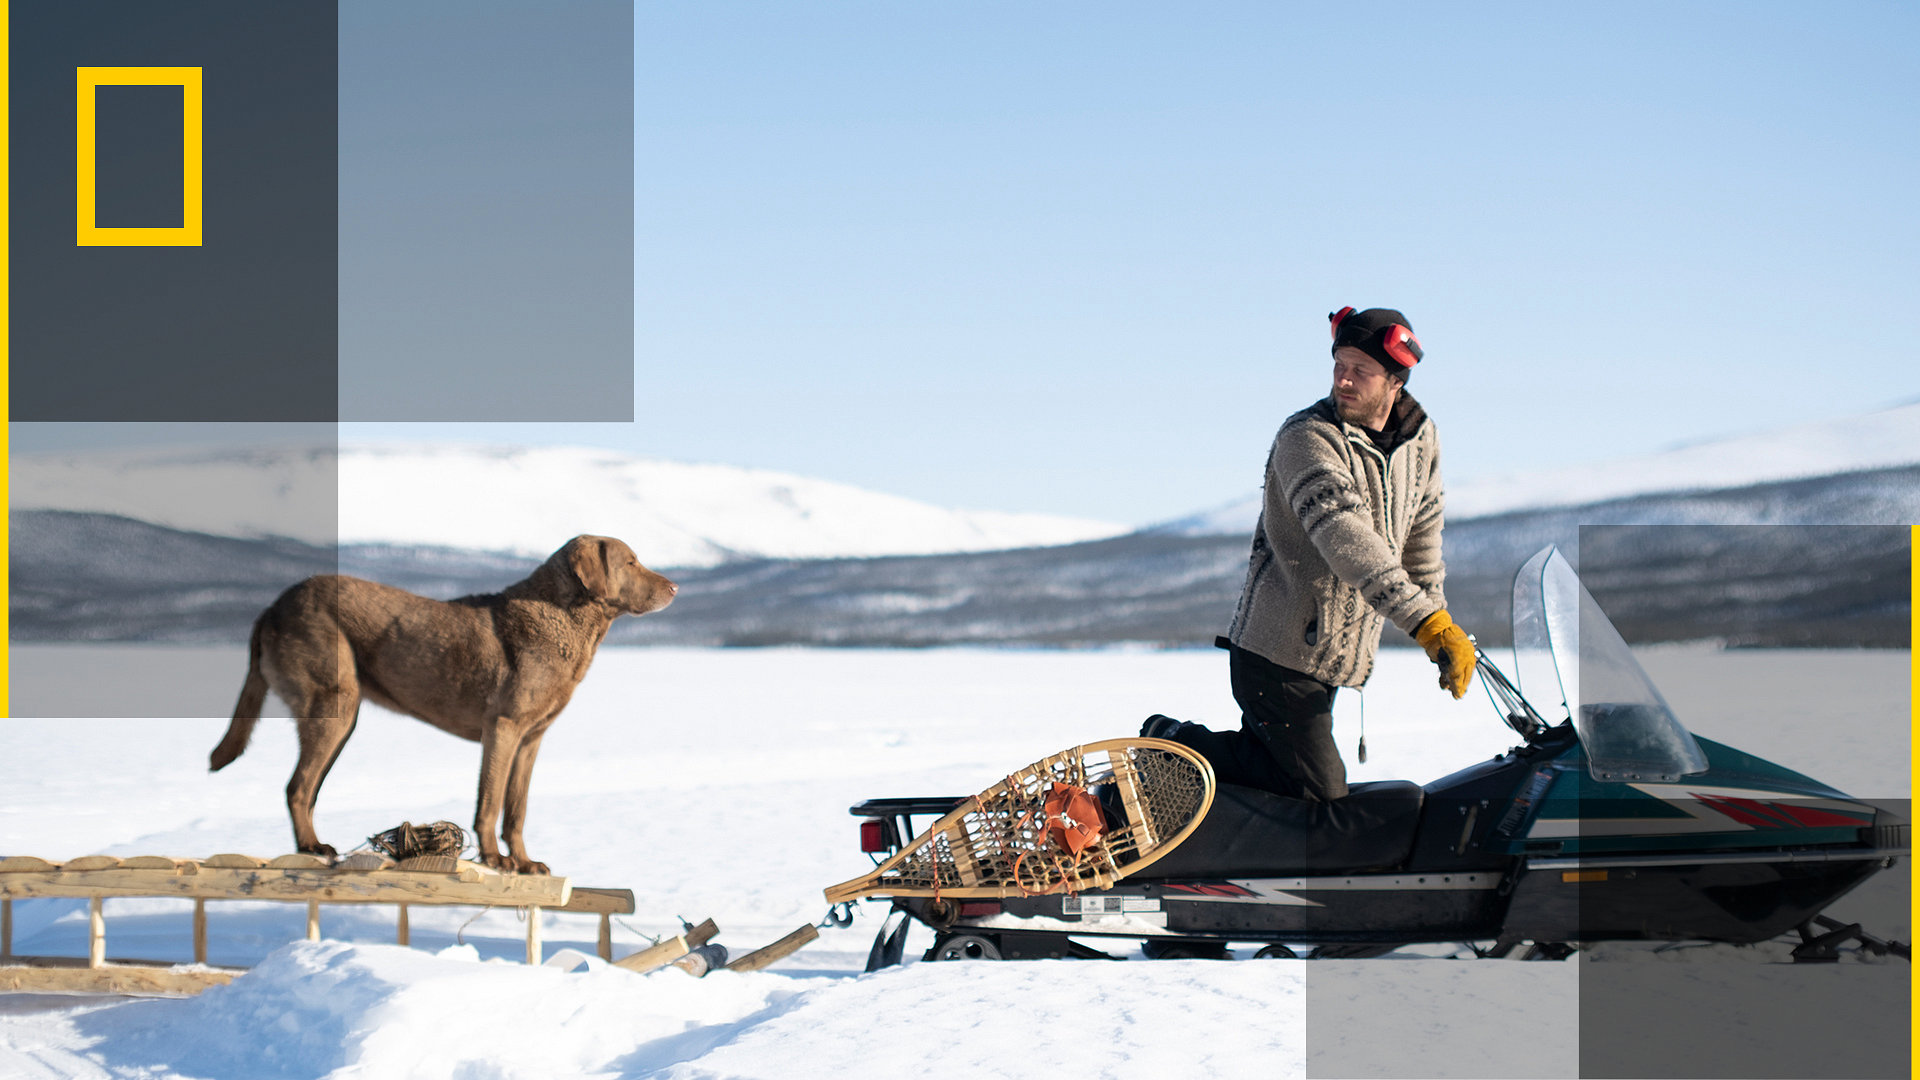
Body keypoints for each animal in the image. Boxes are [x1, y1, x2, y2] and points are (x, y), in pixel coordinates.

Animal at [208, 534, 675, 868]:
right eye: (630, 562)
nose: (674, 587)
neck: (565, 620)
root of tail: (271, 607)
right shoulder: (502, 728)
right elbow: (490, 802)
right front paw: (496, 860)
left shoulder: (531, 739)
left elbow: (517, 809)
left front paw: (525, 863)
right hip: (333, 704)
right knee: (298, 787)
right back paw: (313, 847)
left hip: (339, 717)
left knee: (306, 787)